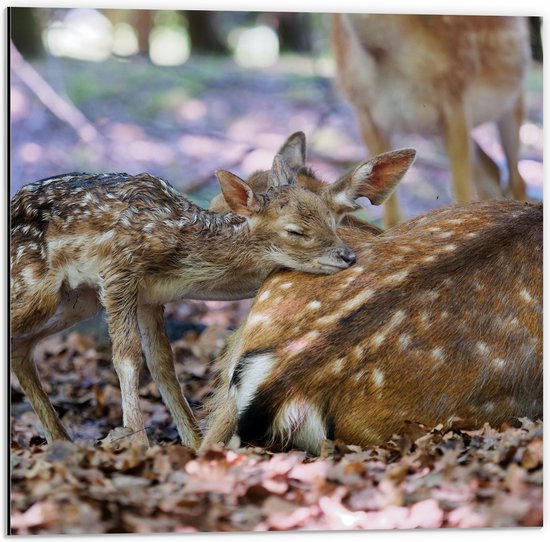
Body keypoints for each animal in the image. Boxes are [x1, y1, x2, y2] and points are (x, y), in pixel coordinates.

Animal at [9, 134, 414, 448]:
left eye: (333, 220)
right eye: (295, 230)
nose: (347, 256)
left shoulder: (149, 296)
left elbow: (163, 365)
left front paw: (190, 443)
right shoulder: (118, 269)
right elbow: (127, 357)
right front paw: (137, 444)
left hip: (76, 301)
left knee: (19, 346)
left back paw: (60, 441)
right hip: (36, 289)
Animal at [334, 14, 532, 227]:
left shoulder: (456, 93)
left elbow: (461, 193)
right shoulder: (365, 110)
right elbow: (391, 215)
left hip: (512, 102)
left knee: (517, 178)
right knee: (491, 170)